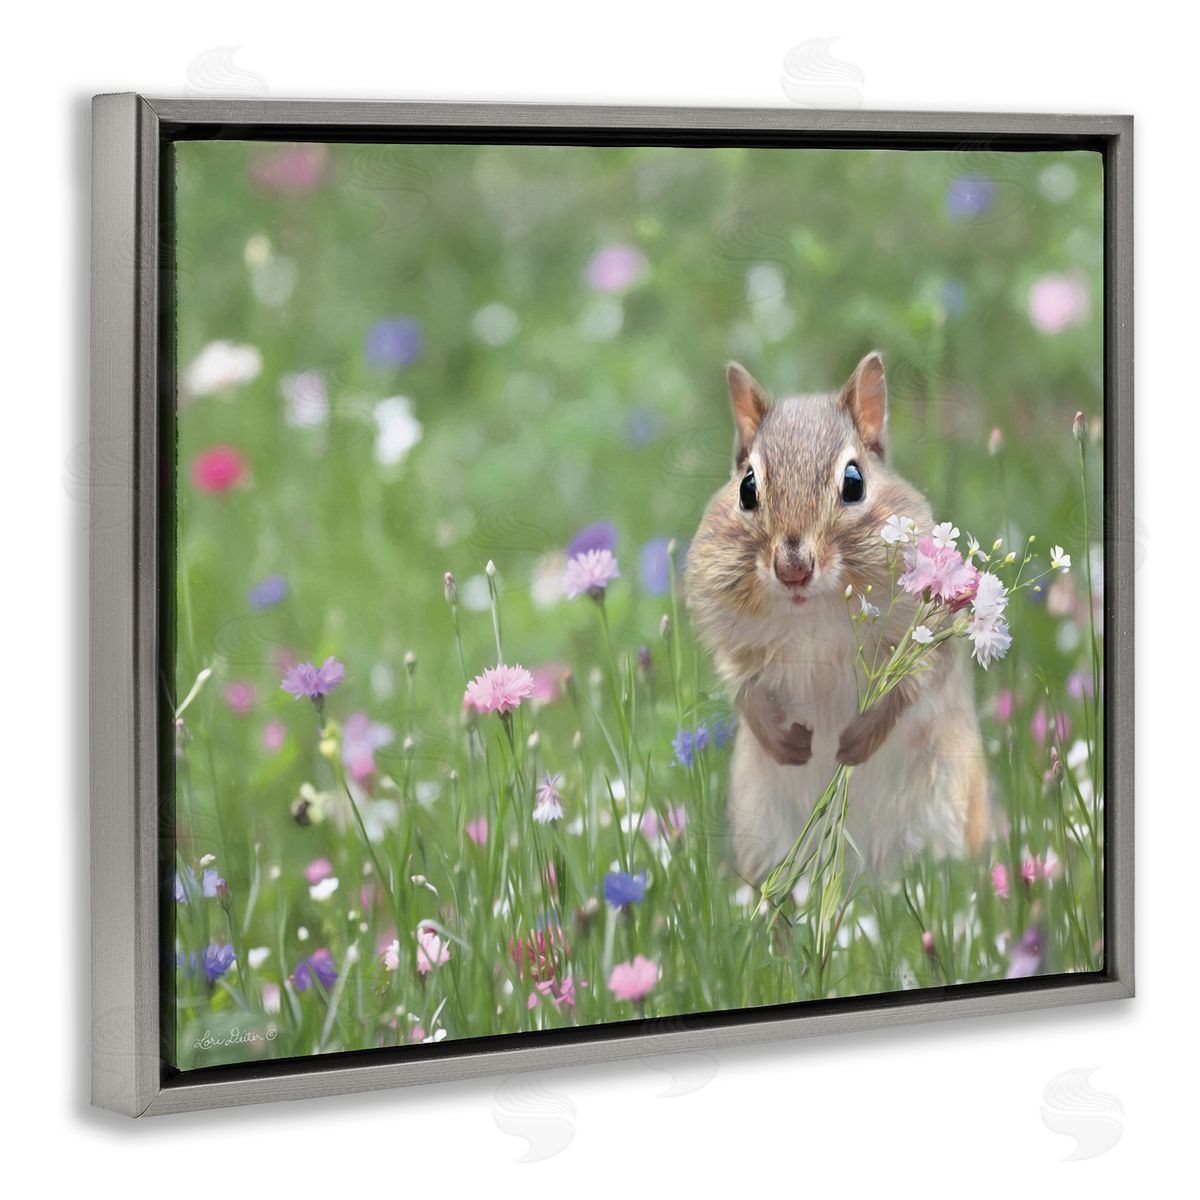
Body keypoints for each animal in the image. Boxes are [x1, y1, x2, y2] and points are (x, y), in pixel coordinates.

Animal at [685, 352, 988, 885]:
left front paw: (855, 744)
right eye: (746, 488)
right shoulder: (732, 638)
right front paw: (785, 743)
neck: (810, 614)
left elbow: (910, 689)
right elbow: (742, 686)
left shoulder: (922, 639)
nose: (793, 569)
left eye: (854, 482)